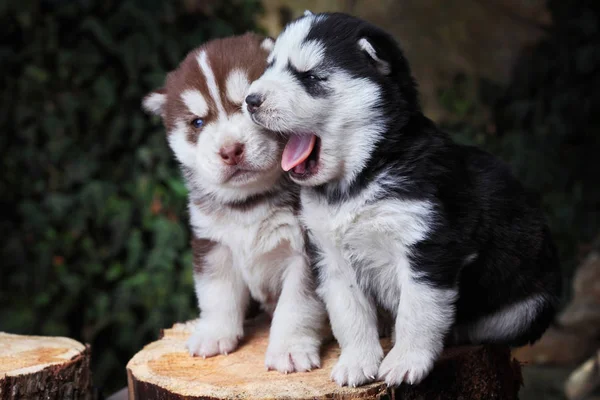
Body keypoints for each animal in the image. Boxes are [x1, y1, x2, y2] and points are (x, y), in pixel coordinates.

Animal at [243, 11, 556, 388]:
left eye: (311, 77)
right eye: (271, 66)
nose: (250, 100)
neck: (361, 177)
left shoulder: (428, 247)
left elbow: (418, 312)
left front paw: (406, 361)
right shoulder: (331, 256)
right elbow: (349, 314)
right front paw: (357, 361)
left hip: (531, 304)